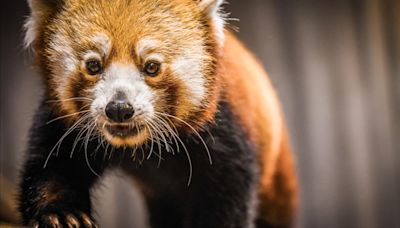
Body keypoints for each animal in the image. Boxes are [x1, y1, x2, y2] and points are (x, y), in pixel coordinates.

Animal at [19, 0, 296, 226]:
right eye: (93, 65)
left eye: (152, 67)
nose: (119, 108)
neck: (140, 146)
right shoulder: (63, 124)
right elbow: (51, 167)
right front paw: (61, 214)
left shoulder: (225, 131)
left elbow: (227, 194)